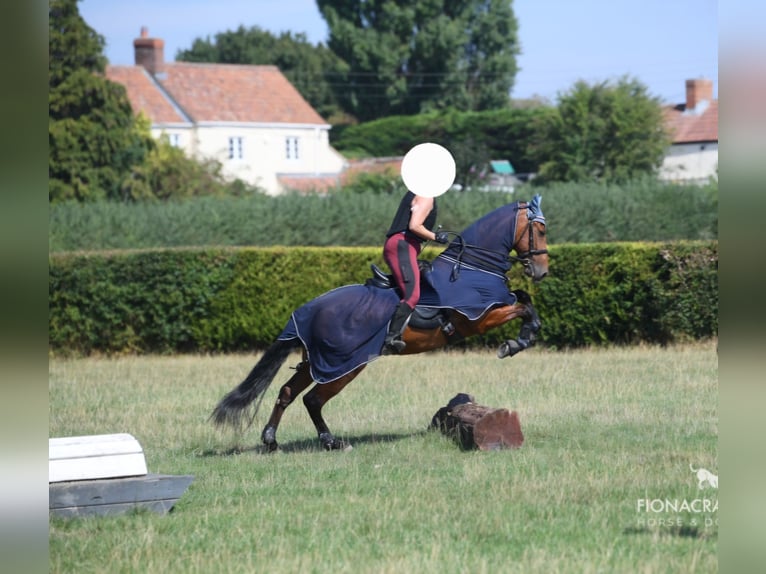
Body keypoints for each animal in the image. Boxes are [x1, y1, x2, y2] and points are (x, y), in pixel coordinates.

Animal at [210, 196, 548, 452]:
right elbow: (522, 308)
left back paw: (270, 440)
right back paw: (331, 442)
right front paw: (514, 344)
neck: (473, 266)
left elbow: (524, 300)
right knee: (312, 399)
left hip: (317, 362)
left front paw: (523, 336)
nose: (542, 271)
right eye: (541, 230)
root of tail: (307, 310)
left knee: (287, 392)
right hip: (344, 364)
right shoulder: (479, 319)